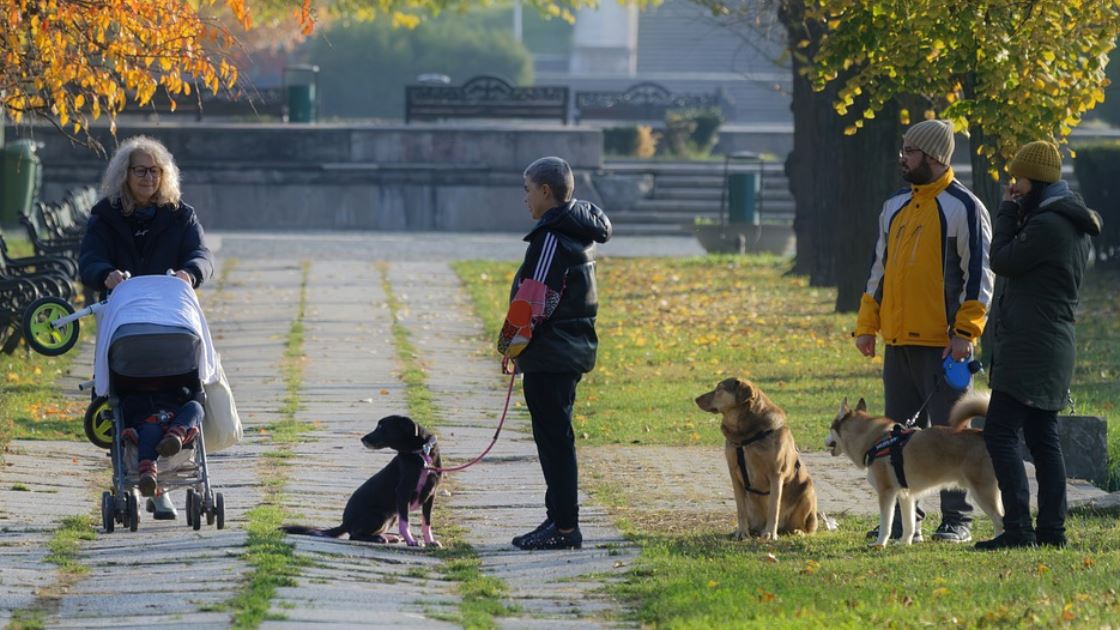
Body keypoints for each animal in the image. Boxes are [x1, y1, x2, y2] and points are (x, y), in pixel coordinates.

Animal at [280, 412, 441, 544]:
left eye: (382, 427)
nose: (362, 439)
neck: (421, 453)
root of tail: (344, 524)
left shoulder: (431, 494)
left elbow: (426, 522)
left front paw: (430, 542)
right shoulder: (403, 492)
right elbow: (405, 522)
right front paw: (411, 541)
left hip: (391, 516)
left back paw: (388, 537)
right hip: (378, 514)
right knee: (354, 535)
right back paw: (379, 538)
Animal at [694, 374, 819, 538]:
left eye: (720, 389)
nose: (696, 399)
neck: (745, 435)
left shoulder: (776, 473)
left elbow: (774, 507)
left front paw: (770, 533)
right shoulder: (734, 473)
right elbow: (740, 509)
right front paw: (741, 532)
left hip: (807, 491)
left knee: (808, 527)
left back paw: (797, 531)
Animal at [824, 396, 1008, 544]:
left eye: (829, 427)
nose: (824, 441)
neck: (875, 440)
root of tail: (982, 434)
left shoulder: (886, 493)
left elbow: (886, 525)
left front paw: (879, 544)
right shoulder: (906, 495)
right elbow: (909, 525)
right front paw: (904, 543)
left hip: (982, 493)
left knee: (1000, 521)